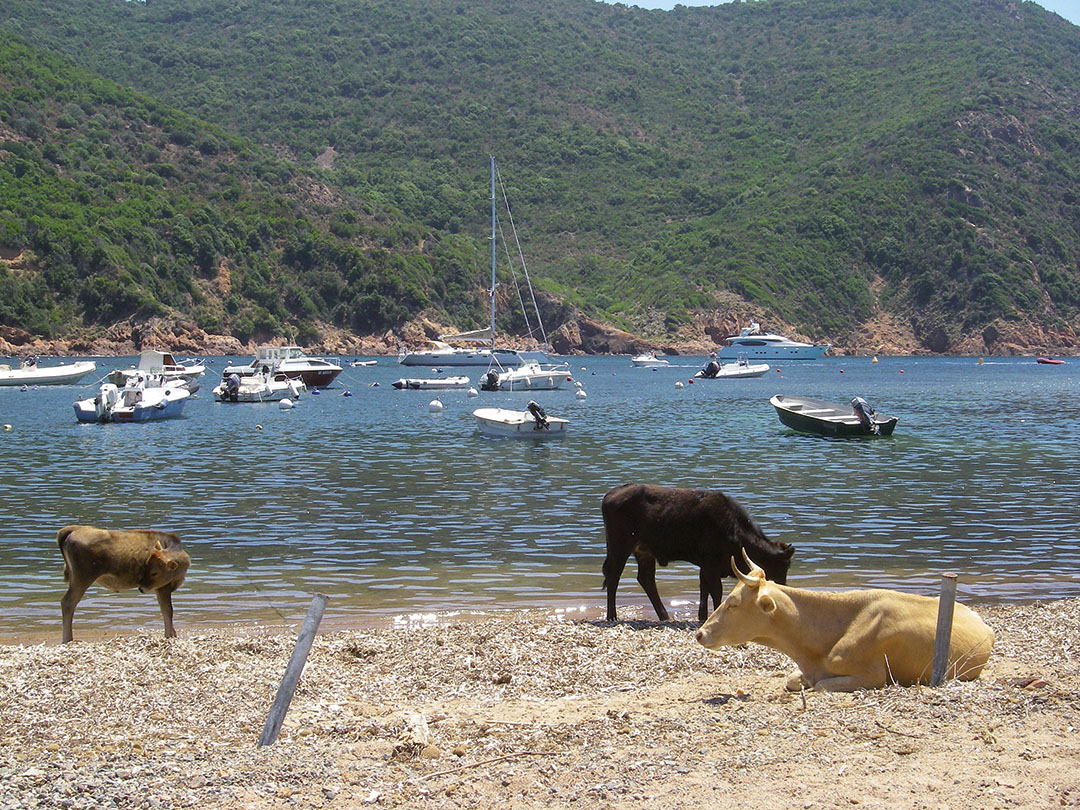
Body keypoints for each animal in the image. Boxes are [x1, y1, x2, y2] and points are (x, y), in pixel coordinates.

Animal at [58, 527, 192, 648]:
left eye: (153, 571)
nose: (141, 588)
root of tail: (73, 530)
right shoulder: (163, 588)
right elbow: (168, 610)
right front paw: (170, 635)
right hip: (82, 580)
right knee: (68, 602)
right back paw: (68, 640)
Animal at [600, 486, 794, 626]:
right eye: (782, 565)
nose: (783, 586)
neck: (732, 529)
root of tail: (610, 494)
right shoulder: (711, 566)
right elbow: (715, 591)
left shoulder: (706, 567)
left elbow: (704, 589)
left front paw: (703, 616)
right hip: (620, 548)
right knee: (614, 576)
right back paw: (612, 616)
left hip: (644, 553)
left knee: (646, 579)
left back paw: (664, 616)